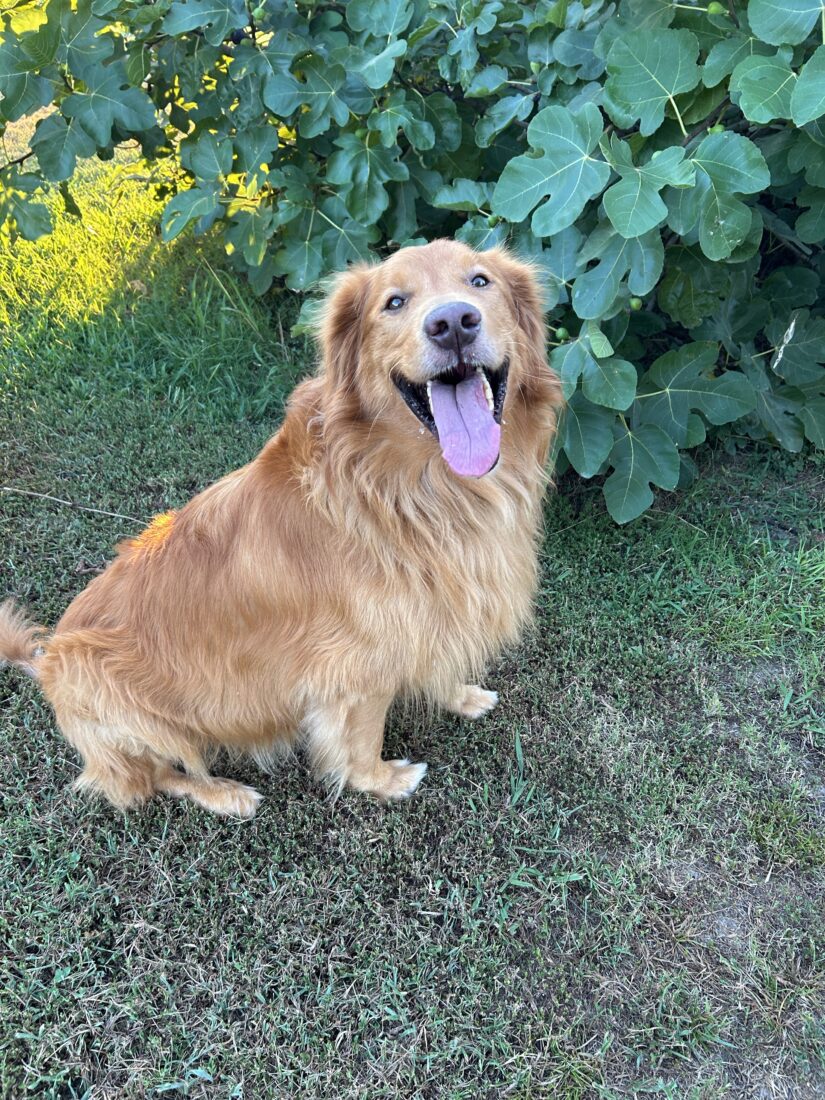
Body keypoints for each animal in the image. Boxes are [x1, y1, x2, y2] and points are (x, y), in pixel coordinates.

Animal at [0, 238, 563, 818]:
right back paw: (226, 794)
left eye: (479, 281)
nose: (452, 323)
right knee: (158, 777)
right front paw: (383, 781)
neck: (413, 492)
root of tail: (45, 662)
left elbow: (439, 664)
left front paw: (463, 696)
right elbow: (361, 740)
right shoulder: (355, 668)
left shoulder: (435, 610)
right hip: (120, 702)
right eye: (394, 302)